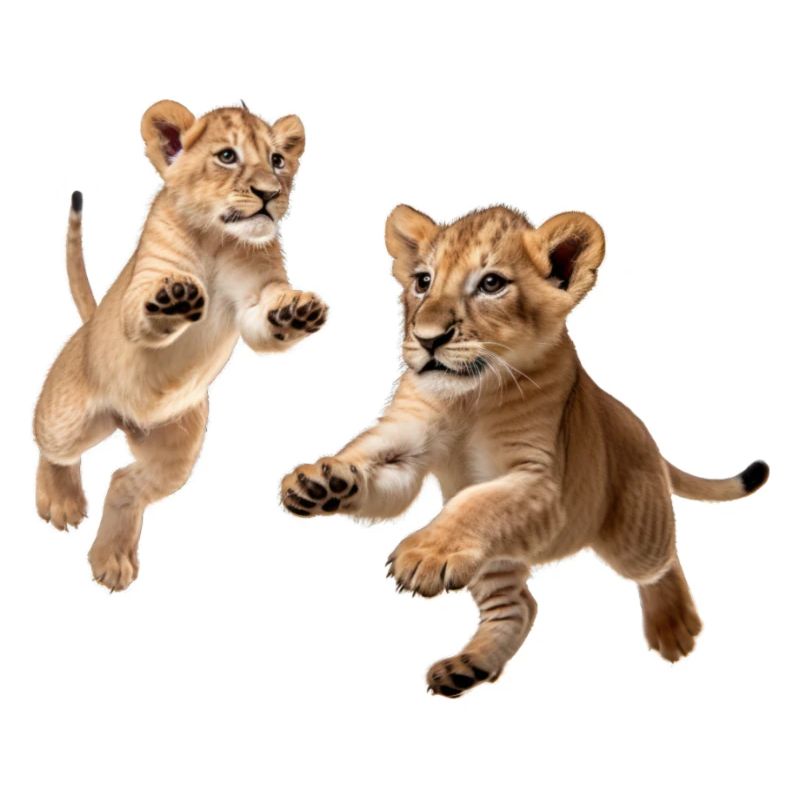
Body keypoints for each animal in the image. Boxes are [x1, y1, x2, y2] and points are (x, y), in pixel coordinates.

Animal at [35, 100, 326, 591]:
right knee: (54, 449)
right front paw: (176, 298)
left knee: (124, 482)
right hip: (68, 418)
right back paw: (60, 500)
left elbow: (264, 319)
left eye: (277, 160)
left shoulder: (254, 296)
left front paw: (296, 311)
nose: (269, 193)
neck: (217, 237)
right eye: (227, 156)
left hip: (177, 451)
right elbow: (144, 311)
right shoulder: (144, 281)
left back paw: (112, 558)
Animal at [280, 204, 768, 697]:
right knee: (520, 605)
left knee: (664, 559)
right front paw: (320, 482)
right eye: (423, 281)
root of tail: (641, 429)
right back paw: (467, 667)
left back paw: (674, 626)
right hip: (495, 560)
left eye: (491, 283)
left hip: (635, 531)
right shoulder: (407, 441)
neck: (470, 398)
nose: (427, 338)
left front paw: (424, 554)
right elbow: (374, 463)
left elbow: (473, 501)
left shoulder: (542, 481)